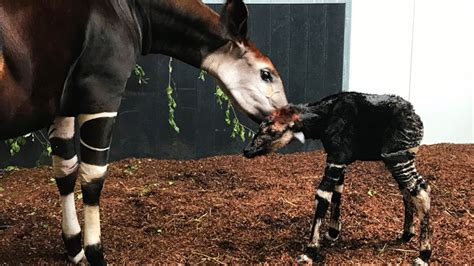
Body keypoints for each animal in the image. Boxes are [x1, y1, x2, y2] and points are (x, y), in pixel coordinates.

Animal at [243, 91, 432, 264]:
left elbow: (323, 195)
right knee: (408, 191)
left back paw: (423, 255)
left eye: (271, 131)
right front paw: (333, 233)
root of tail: (415, 116)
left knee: (421, 191)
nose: (246, 151)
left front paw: (310, 251)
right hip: (398, 158)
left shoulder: (336, 157)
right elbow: (337, 193)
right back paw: (406, 234)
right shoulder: (339, 160)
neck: (324, 116)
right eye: (259, 129)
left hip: (396, 157)